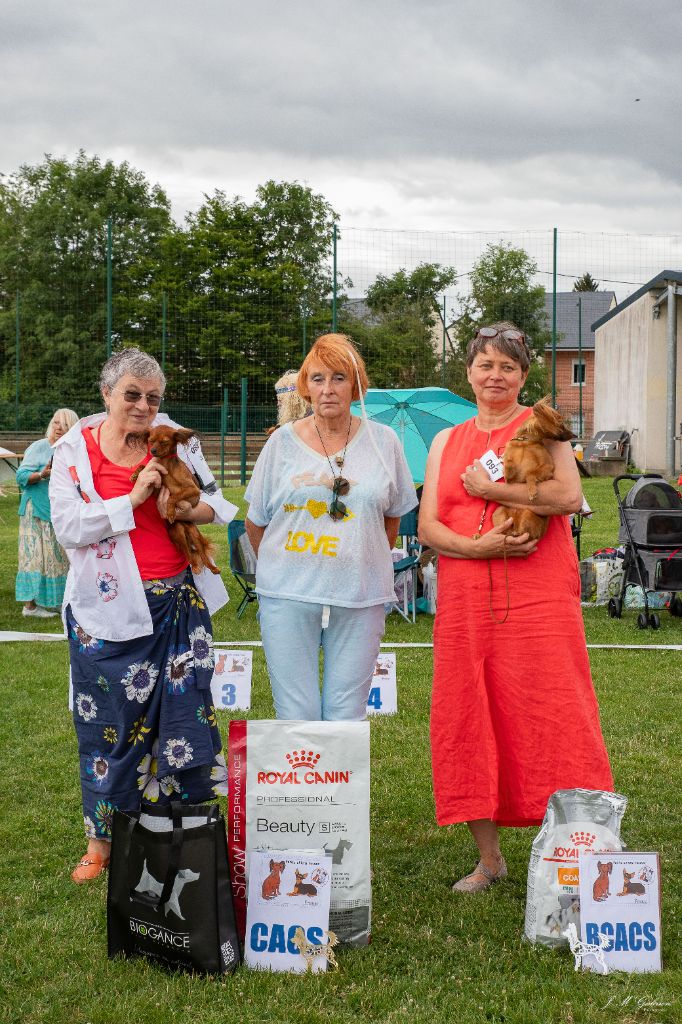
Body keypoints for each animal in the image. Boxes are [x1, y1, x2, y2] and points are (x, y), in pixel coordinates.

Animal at [130, 425, 220, 575]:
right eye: (150, 441)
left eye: (164, 442)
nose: (153, 451)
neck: (166, 464)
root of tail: (185, 527)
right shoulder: (157, 487)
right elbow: (143, 467)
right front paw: (135, 474)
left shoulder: (193, 490)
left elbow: (173, 497)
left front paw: (171, 512)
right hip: (177, 531)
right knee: (188, 554)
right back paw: (195, 566)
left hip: (195, 535)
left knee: (202, 554)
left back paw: (212, 568)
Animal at [491, 398, 575, 541]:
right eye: (561, 424)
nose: (574, 435)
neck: (525, 442)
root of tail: (515, 525)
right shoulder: (510, 479)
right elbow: (508, 466)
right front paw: (505, 460)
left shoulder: (548, 468)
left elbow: (530, 473)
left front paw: (532, 491)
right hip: (499, 511)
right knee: (503, 533)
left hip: (529, 512)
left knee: (526, 534)